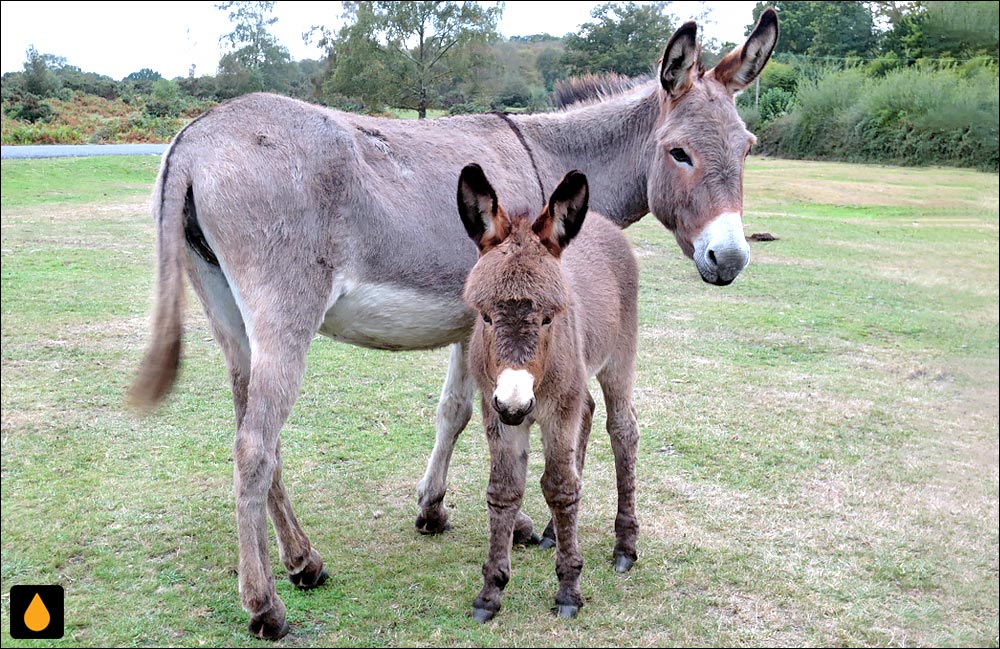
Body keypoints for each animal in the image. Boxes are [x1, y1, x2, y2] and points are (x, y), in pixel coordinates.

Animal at [456, 165, 636, 620]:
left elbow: (560, 487)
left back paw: (626, 546)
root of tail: (600, 221)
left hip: (619, 360)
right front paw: (491, 591)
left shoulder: (557, 409)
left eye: (549, 318)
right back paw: (556, 531)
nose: (516, 405)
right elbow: (504, 491)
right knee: (588, 413)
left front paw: (569, 590)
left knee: (623, 430)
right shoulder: (494, 411)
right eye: (485, 316)